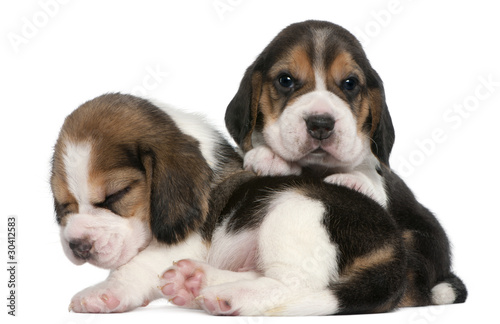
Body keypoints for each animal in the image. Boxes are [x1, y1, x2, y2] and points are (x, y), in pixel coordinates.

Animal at [50, 93, 242, 312]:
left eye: (116, 194)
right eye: (64, 204)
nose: (78, 245)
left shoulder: (190, 241)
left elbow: (140, 263)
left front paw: (106, 291)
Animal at [225, 20, 466, 308]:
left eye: (350, 84)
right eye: (285, 80)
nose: (320, 123)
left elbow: (372, 177)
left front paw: (353, 179)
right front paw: (268, 156)